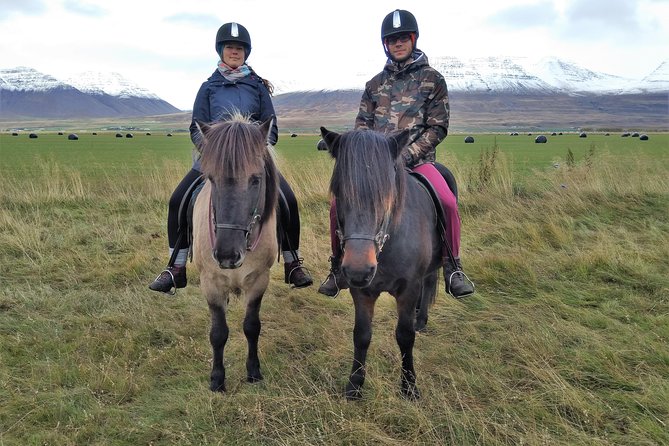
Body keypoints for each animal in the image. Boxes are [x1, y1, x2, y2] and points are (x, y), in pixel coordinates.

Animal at [192, 116, 278, 392]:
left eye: (256, 179)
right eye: (211, 178)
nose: (227, 255)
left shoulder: (259, 281)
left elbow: (252, 327)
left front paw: (253, 372)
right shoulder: (210, 283)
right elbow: (218, 333)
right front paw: (217, 379)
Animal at [320, 126, 444, 400]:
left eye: (387, 195)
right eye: (338, 193)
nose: (358, 270)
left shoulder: (408, 288)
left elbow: (405, 336)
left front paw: (409, 386)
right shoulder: (361, 291)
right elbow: (361, 335)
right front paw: (355, 385)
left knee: (430, 282)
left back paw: (421, 319)